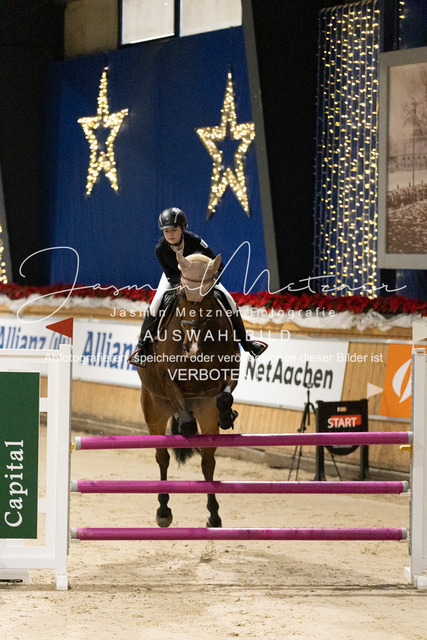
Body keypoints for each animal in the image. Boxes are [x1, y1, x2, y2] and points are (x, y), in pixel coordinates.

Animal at [137, 251, 240, 528]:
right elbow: (184, 423)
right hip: (154, 410)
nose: (190, 348)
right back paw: (163, 511)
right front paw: (186, 426)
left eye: (208, 295)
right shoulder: (168, 380)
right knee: (162, 457)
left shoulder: (232, 370)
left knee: (208, 462)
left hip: (205, 412)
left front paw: (228, 416)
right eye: (183, 294)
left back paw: (214, 515)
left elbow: (224, 396)